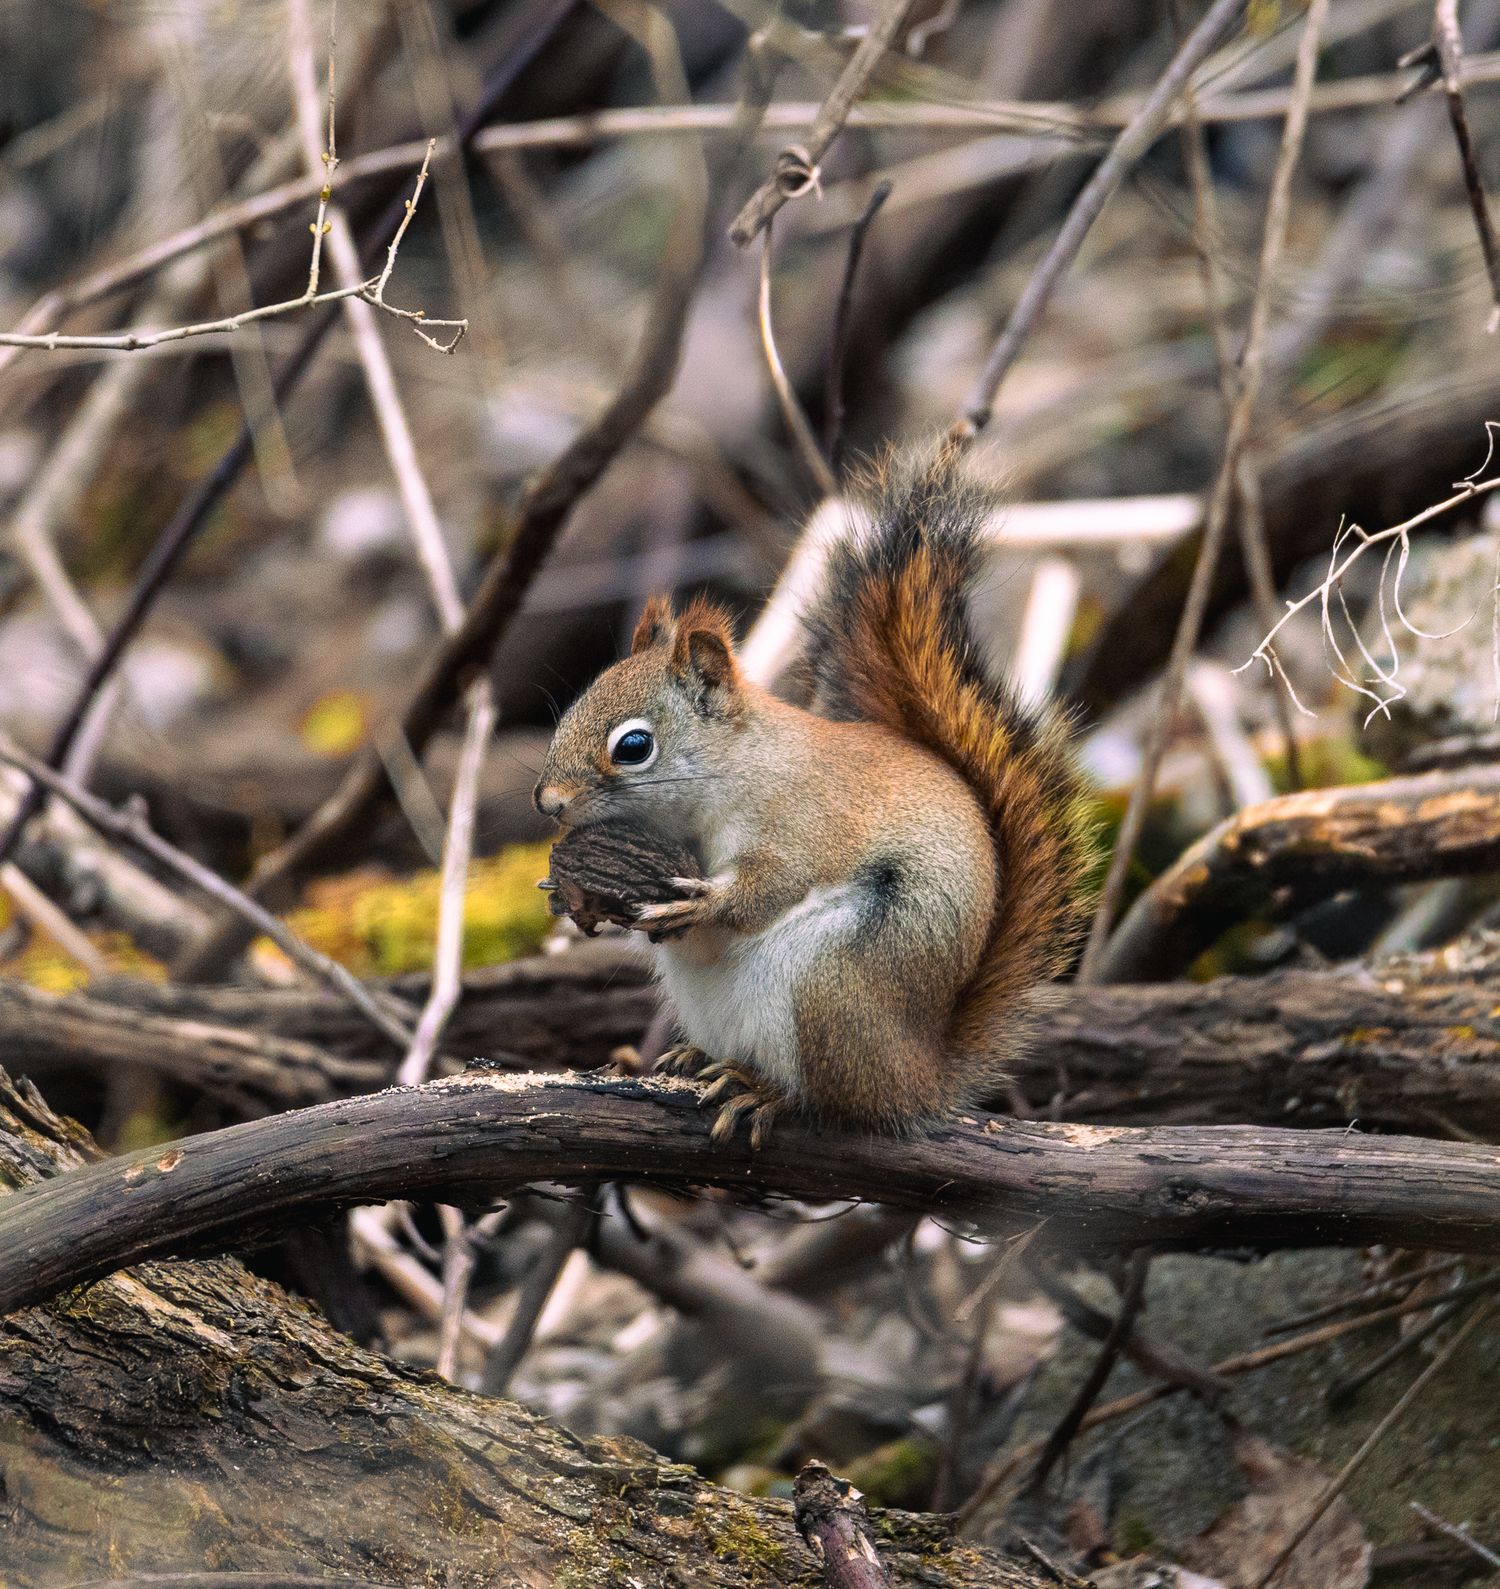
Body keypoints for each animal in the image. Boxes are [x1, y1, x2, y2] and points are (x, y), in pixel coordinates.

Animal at [533, 459, 1095, 1146]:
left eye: (634, 746)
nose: (547, 802)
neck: (732, 772)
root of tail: (918, 1077)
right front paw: (566, 894)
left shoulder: (800, 818)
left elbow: (776, 882)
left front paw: (707, 902)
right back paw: (698, 1057)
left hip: (828, 985)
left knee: (832, 1102)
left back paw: (764, 1090)